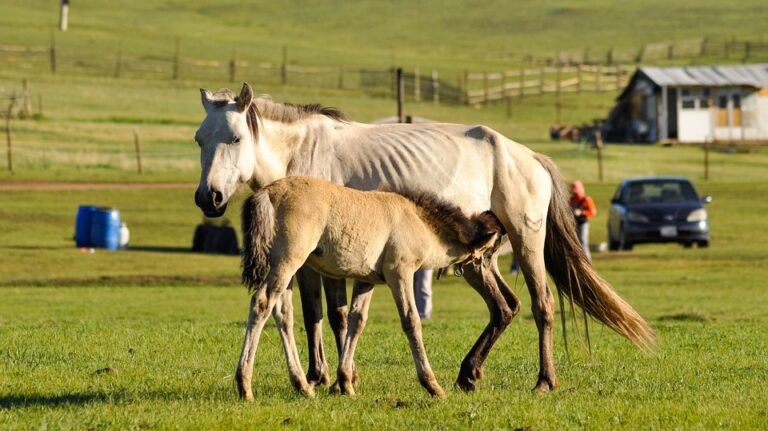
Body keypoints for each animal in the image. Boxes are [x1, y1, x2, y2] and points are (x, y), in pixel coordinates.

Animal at [237, 177, 508, 400]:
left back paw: (302, 385)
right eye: (488, 251)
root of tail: (267, 193)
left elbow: (356, 321)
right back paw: (245, 385)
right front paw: (432, 385)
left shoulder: (365, 280)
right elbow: (411, 321)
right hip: (288, 261)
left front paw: (346, 383)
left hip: (289, 269)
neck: (416, 220)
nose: (490, 274)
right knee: (262, 303)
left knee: (282, 313)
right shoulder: (400, 273)